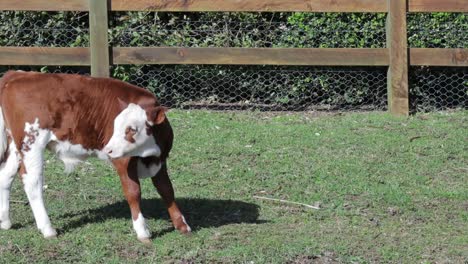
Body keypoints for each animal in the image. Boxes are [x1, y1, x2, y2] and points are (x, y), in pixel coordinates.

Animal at [0, 70, 190, 241]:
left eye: (132, 129)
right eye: (115, 125)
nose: (108, 150)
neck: (148, 154)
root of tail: (18, 74)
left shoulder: (161, 159)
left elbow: (166, 189)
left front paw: (182, 225)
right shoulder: (124, 161)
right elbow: (133, 192)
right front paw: (142, 231)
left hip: (15, 145)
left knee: (6, 175)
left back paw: (5, 222)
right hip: (31, 143)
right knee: (32, 183)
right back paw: (48, 229)